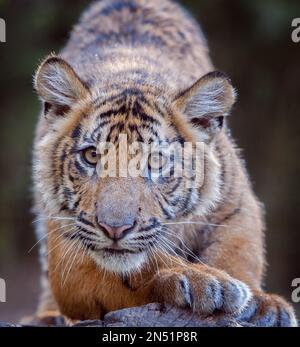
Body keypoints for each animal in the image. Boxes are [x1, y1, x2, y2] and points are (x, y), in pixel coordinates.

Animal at [26, 0, 298, 326]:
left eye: (155, 161)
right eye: (91, 156)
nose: (114, 229)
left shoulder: (237, 204)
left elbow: (237, 254)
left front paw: (263, 305)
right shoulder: (69, 248)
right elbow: (140, 267)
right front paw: (201, 280)